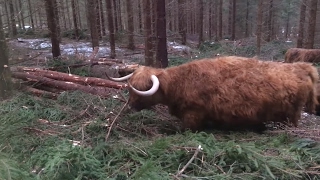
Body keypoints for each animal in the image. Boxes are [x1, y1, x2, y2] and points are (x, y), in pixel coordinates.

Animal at [108, 55, 318, 131]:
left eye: (142, 89)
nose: (130, 105)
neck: (179, 83)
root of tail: (302, 67)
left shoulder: (193, 114)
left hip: (294, 113)